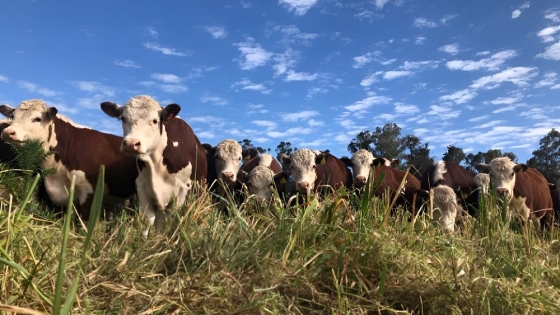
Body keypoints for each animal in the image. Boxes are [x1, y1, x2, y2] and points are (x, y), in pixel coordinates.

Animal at [99, 95, 207, 236]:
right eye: (123, 118)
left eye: (155, 121)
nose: (131, 143)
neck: (156, 164)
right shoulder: (141, 185)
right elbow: (148, 220)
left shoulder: (184, 189)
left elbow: (172, 219)